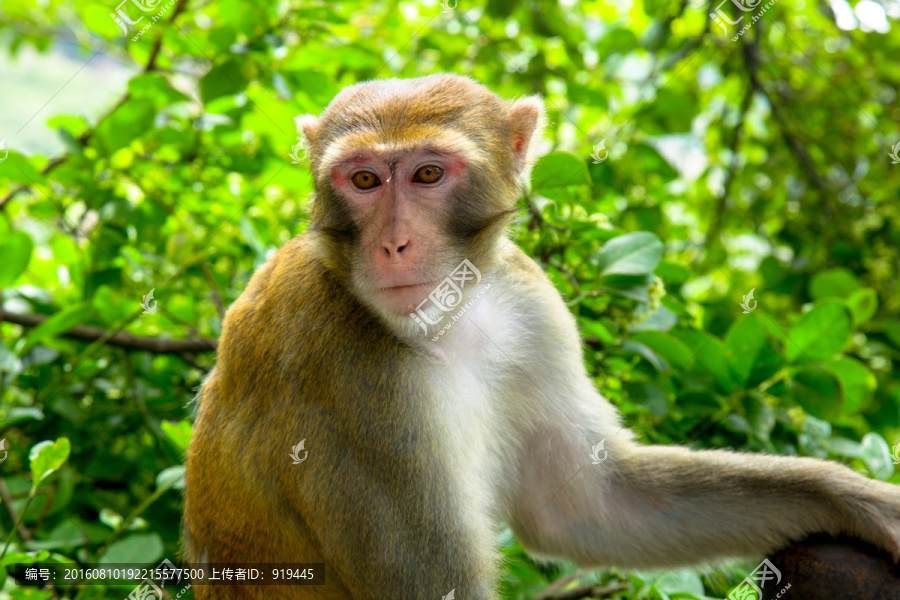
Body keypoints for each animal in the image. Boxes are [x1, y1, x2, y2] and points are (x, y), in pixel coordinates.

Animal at [183, 72, 900, 596]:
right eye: (363, 179)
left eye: (427, 175)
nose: (393, 244)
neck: (443, 322)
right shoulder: (347, 374)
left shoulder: (532, 305)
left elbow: (588, 504)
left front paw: (857, 500)